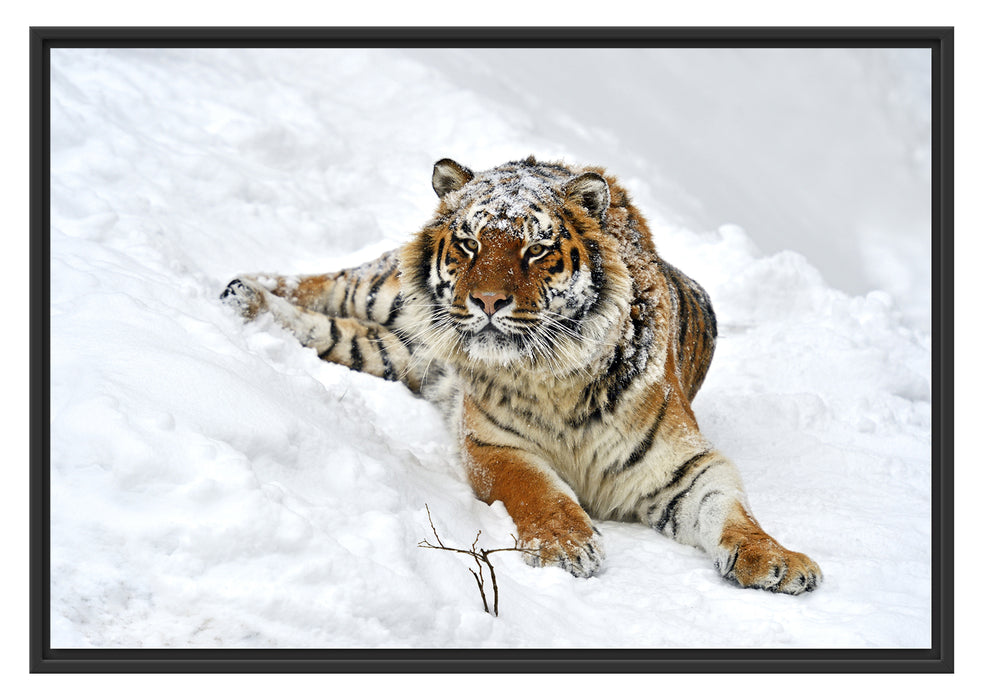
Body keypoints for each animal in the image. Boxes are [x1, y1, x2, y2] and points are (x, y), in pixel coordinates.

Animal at [221, 156, 822, 594]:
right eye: (469, 243)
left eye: (536, 250)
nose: (487, 301)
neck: (555, 378)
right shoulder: (491, 445)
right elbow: (538, 489)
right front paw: (566, 546)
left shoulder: (684, 464)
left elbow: (731, 510)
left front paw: (778, 561)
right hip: (382, 291)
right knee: (325, 283)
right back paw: (237, 287)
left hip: (395, 350)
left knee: (331, 329)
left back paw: (249, 302)